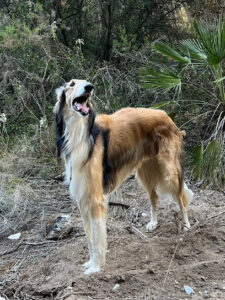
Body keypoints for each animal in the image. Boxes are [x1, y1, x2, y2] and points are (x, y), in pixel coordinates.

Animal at [54, 79, 193, 274]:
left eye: (85, 82)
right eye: (72, 84)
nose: (89, 87)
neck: (80, 133)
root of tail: (165, 115)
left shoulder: (96, 199)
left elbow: (97, 239)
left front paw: (95, 268)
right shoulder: (83, 198)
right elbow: (89, 238)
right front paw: (90, 263)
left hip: (169, 172)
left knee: (181, 198)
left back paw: (186, 224)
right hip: (145, 172)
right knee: (154, 197)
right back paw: (153, 222)